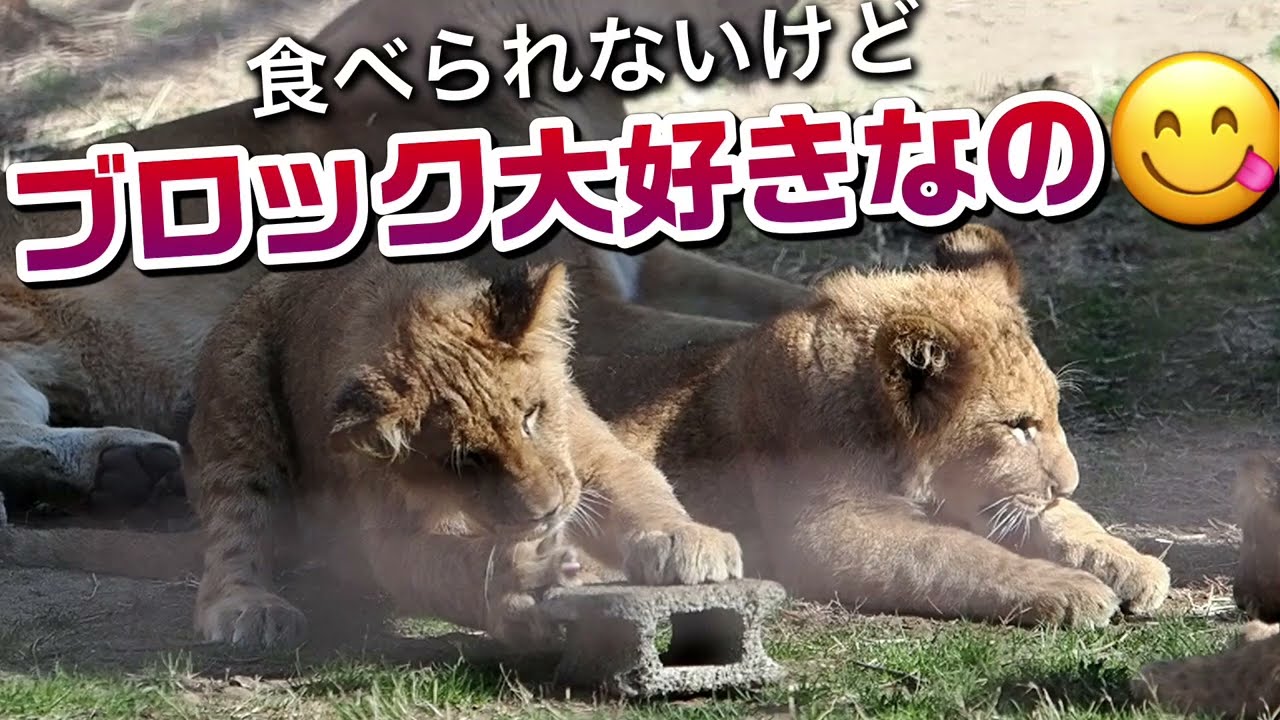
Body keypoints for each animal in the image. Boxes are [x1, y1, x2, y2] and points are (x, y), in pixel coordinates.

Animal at [569, 224, 1172, 627]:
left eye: (1052, 413)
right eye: (1016, 425)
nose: (1069, 482)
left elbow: (1063, 522)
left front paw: (1131, 562)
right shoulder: (829, 532)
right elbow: (954, 555)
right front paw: (1070, 589)